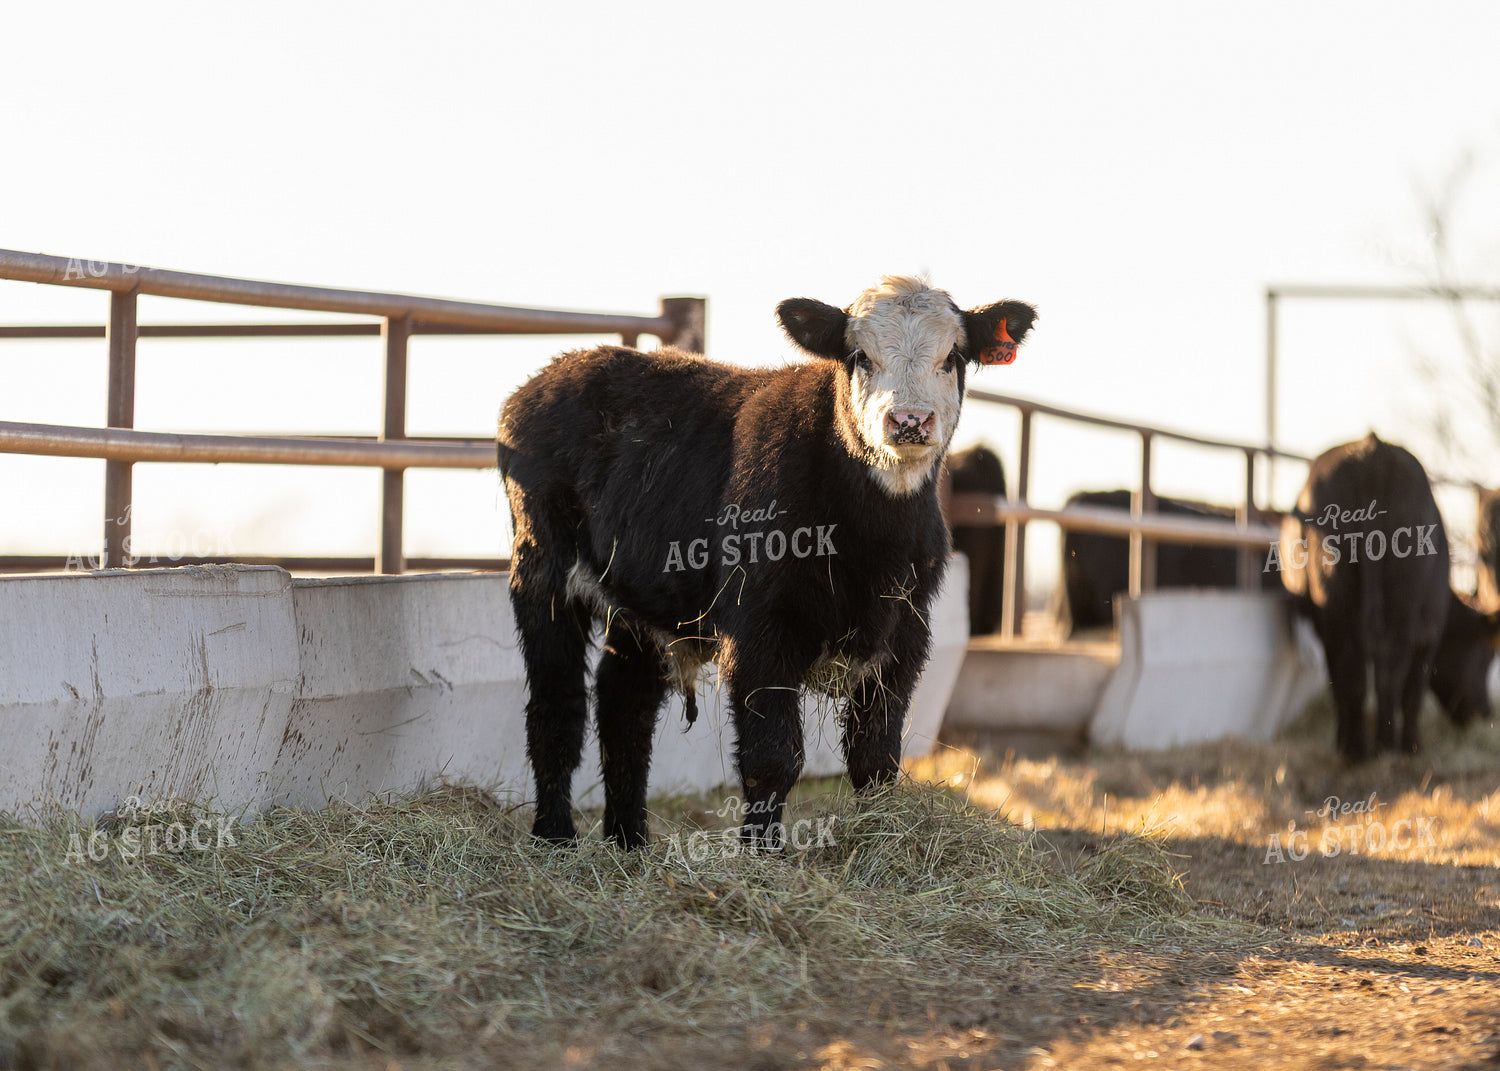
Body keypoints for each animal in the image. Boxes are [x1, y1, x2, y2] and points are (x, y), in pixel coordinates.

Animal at [1276, 434, 1500, 759]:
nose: (1486, 712)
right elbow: (1414, 689)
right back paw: (1386, 746)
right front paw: (1413, 745)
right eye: (1487, 654)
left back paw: (1357, 749)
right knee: (1390, 671)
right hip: (1401, 606)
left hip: (1337, 604)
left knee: (1352, 668)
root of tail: (1372, 450)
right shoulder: (1430, 634)